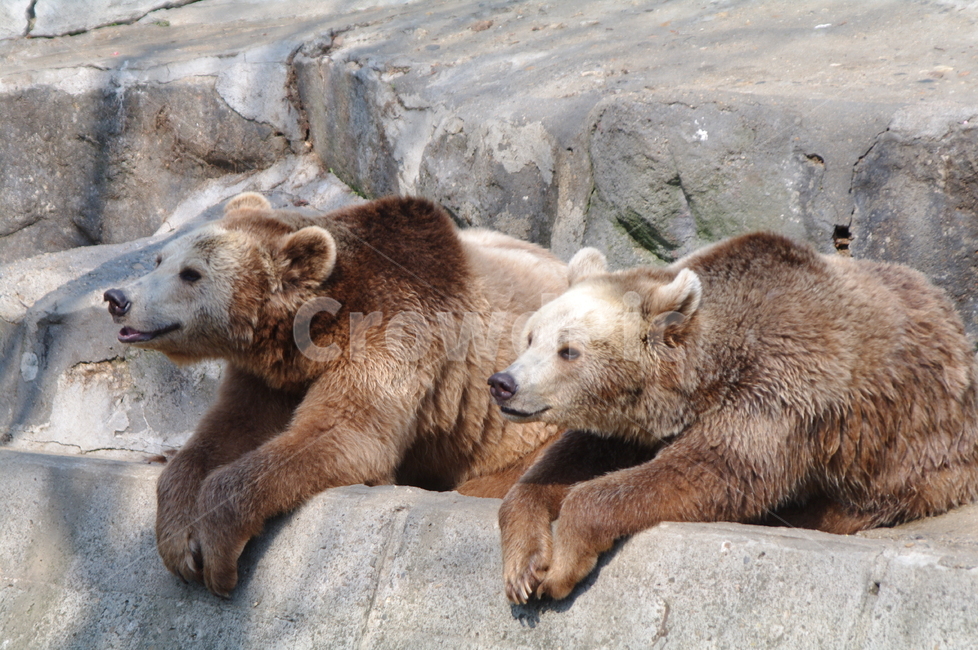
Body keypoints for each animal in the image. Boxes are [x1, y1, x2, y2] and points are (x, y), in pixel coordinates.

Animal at [104, 192, 566, 596]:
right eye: (160, 259)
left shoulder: (394, 330)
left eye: (191, 273)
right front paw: (179, 538)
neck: (314, 331)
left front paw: (217, 548)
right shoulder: (270, 379)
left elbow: (344, 435)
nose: (116, 297)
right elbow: (225, 432)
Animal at [488, 232, 978, 603]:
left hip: (914, 451)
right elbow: (571, 459)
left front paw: (560, 567)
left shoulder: (779, 386)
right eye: (531, 336)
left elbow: (717, 468)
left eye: (568, 349)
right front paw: (525, 567)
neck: (708, 372)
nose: (503, 383)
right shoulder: (641, 420)